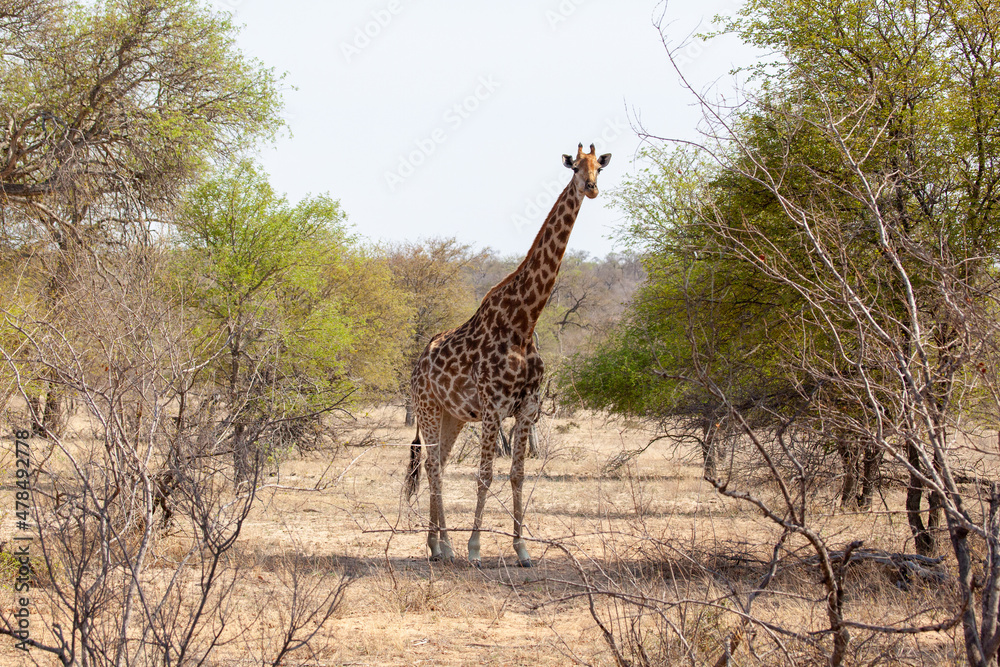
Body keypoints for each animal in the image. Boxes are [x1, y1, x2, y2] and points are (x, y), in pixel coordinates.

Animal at [406, 143, 611, 567]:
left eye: (599, 167)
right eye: (574, 167)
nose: (591, 188)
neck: (525, 321)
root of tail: (416, 367)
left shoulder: (528, 407)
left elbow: (518, 475)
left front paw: (522, 550)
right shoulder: (492, 407)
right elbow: (484, 475)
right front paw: (475, 548)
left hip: (452, 416)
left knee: (440, 465)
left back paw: (439, 545)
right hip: (428, 408)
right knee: (433, 466)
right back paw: (444, 546)